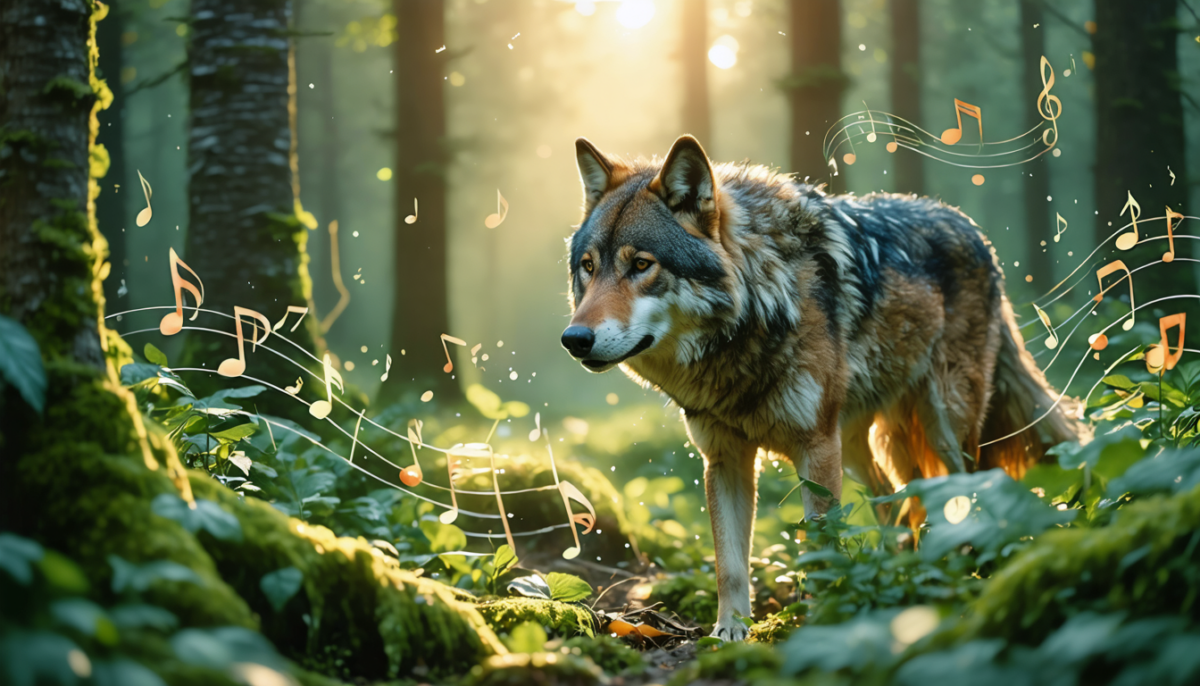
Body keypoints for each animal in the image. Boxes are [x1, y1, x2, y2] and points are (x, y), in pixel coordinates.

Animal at [559, 135, 1083, 641]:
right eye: (588, 266)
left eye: (641, 265)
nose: (574, 339)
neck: (759, 305)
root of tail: (974, 231)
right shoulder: (725, 459)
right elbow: (730, 564)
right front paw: (729, 632)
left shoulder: (815, 448)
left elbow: (820, 549)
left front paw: (817, 625)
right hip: (855, 446)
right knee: (898, 504)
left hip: (940, 431)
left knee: (959, 494)